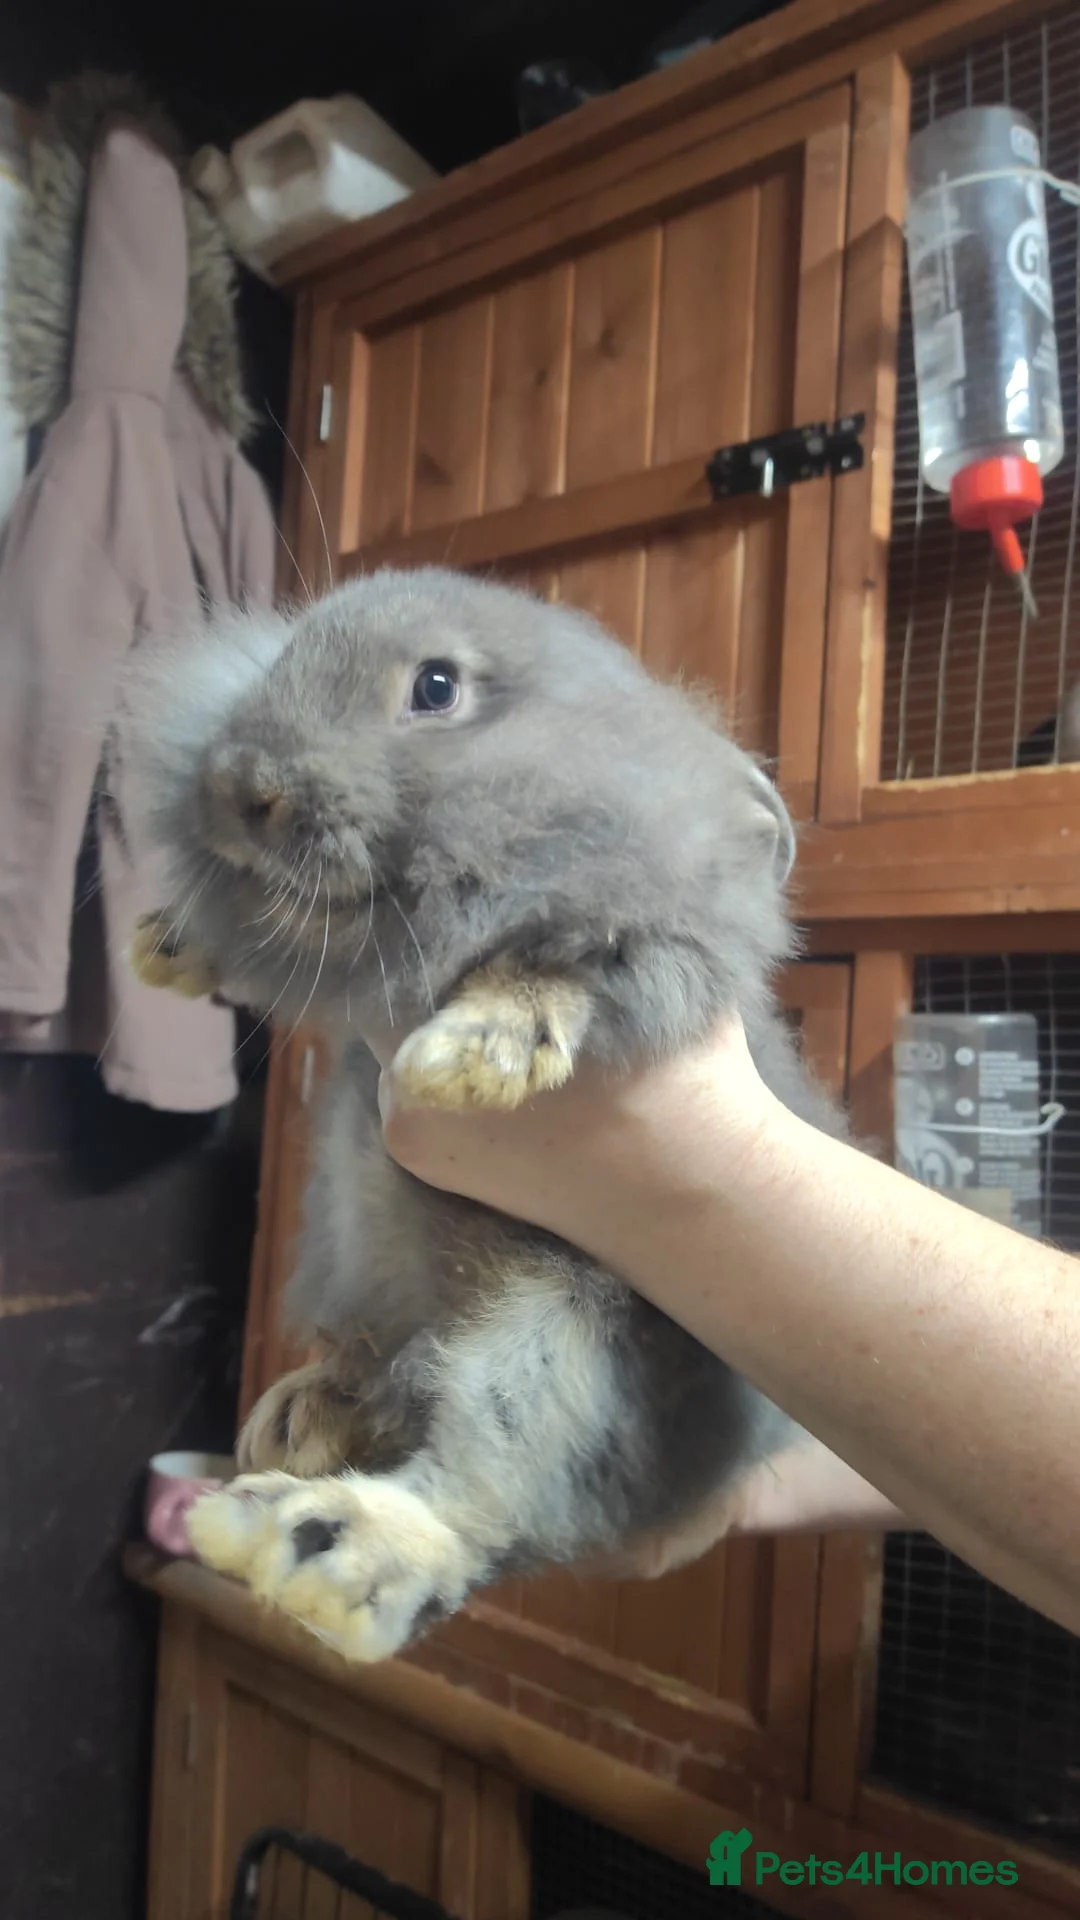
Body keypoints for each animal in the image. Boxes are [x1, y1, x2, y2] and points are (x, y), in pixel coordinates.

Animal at [119, 565, 849, 1664]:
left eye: (435, 687)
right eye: (286, 654)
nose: (243, 786)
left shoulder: (661, 941)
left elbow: (560, 965)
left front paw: (472, 1057)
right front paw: (163, 946)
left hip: (558, 1341)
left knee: (482, 1495)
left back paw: (313, 1544)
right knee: (393, 1387)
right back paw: (295, 1426)